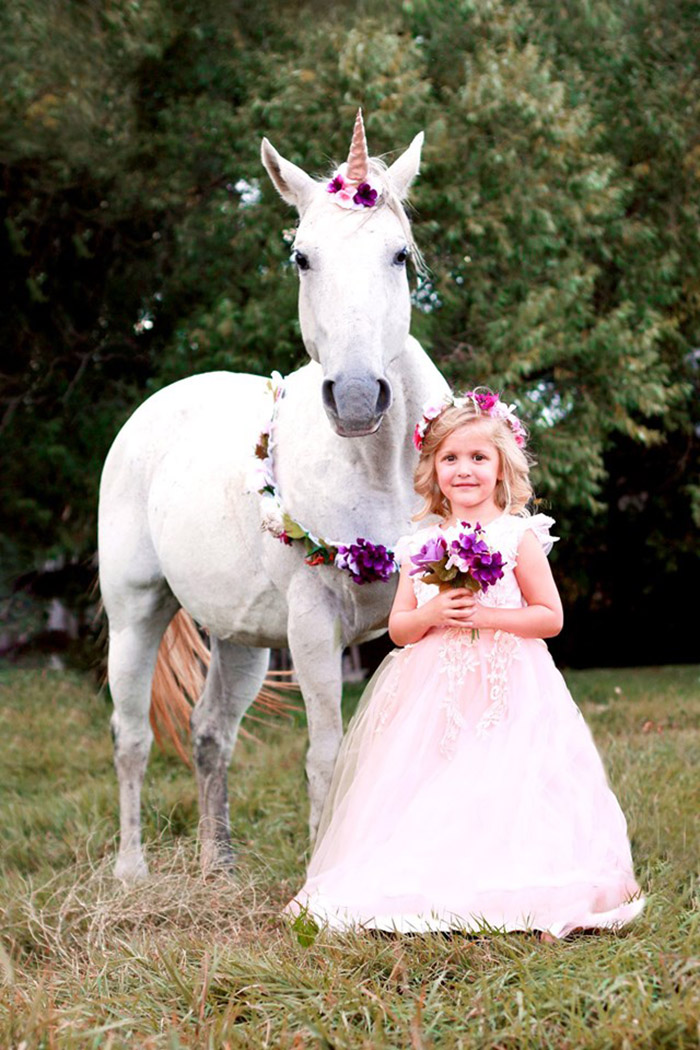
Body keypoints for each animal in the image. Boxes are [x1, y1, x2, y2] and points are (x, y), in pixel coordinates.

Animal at [98, 110, 449, 877]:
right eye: (301, 258)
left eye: (399, 256)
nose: (357, 398)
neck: (377, 468)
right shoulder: (315, 627)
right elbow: (326, 760)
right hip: (135, 615)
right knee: (132, 737)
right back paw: (132, 870)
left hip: (242, 640)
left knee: (209, 734)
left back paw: (217, 865)